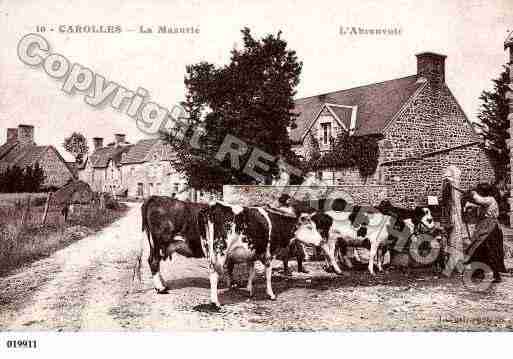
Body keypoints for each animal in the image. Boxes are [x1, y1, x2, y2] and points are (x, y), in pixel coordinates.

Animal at [200, 202, 344, 310]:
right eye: (309, 228)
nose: (321, 240)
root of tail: (213, 207)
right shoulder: (269, 254)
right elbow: (268, 275)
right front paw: (271, 294)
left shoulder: (251, 253)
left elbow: (251, 272)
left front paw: (249, 290)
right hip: (220, 251)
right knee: (214, 276)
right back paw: (215, 302)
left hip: (209, 252)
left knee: (211, 274)